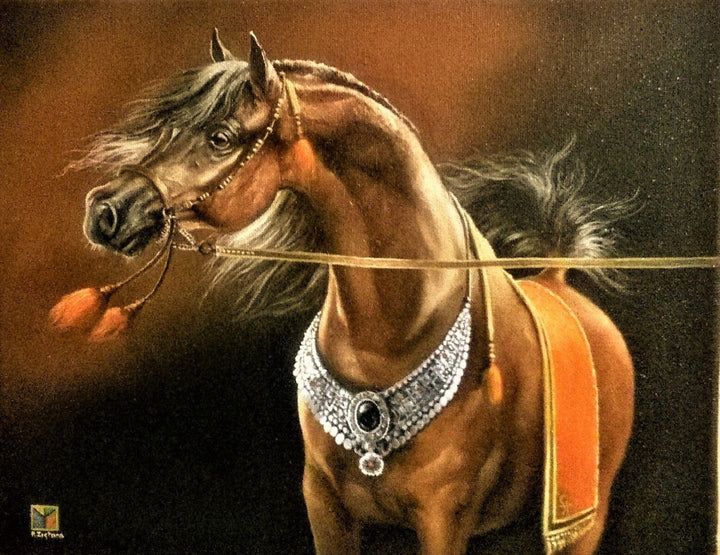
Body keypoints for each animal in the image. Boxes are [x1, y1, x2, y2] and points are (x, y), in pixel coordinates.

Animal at [72, 31, 634, 554]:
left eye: (220, 138)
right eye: (166, 128)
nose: (106, 211)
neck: (391, 335)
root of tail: (557, 281)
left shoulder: (444, 518)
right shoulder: (325, 507)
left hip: (582, 521)